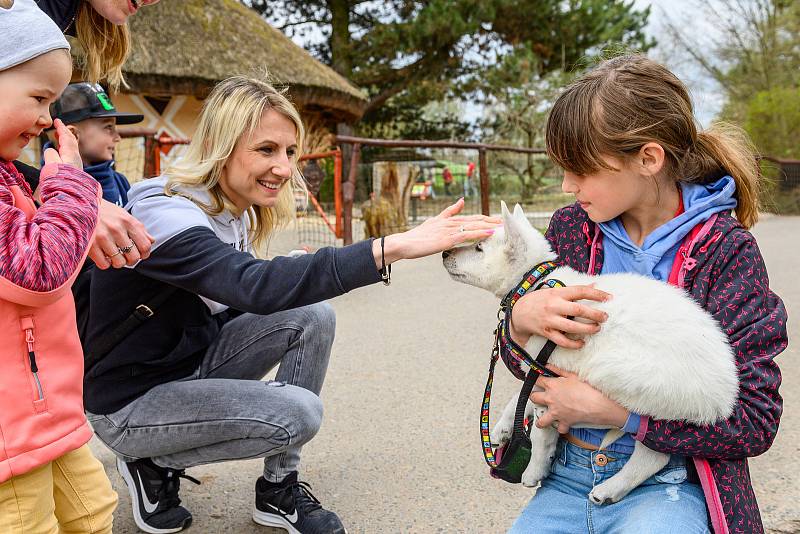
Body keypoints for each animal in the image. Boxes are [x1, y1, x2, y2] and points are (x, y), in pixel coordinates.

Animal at [444, 202, 736, 506]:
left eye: (479, 248)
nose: (444, 253)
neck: (536, 283)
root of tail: (724, 398)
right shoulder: (537, 369)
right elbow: (520, 395)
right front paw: (502, 427)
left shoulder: (548, 372)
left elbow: (540, 432)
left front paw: (534, 469)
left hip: (624, 376)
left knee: (652, 453)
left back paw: (608, 489)